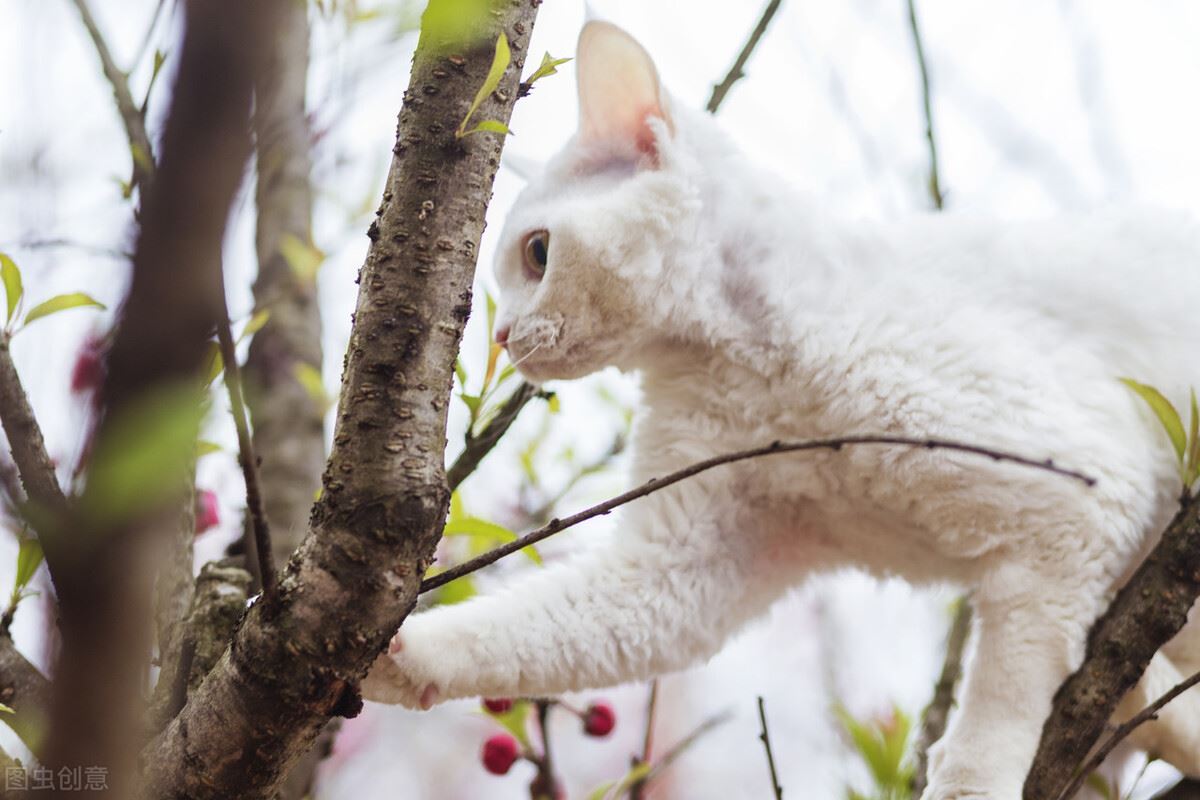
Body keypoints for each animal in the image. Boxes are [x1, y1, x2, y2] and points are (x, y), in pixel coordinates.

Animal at [362, 20, 1200, 800]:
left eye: (537, 254)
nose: (502, 335)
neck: (750, 368)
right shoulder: (683, 566)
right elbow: (543, 626)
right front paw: (394, 659)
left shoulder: (1080, 498)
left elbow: (1004, 687)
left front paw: (971, 782)